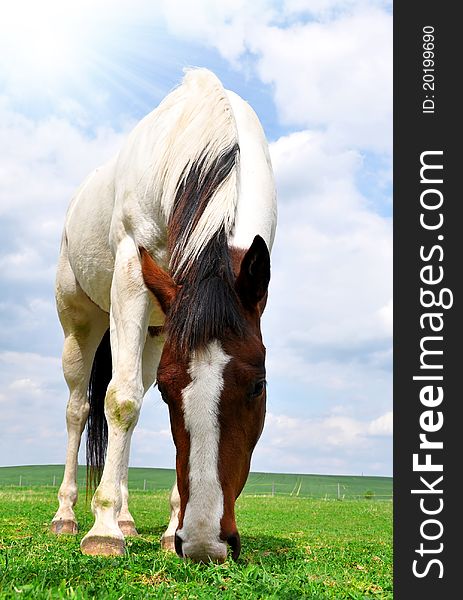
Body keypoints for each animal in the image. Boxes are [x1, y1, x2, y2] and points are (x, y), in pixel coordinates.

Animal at [49, 70, 280, 564]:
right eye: (172, 394)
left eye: (258, 386)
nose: (204, 542)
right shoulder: (130, 274)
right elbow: (121, 401)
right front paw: (102, 534)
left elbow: (133, 404)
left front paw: (166, 527)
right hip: (80, 325)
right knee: (80, 408)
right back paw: (68, 516)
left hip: (155, 335)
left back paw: (127, 519)